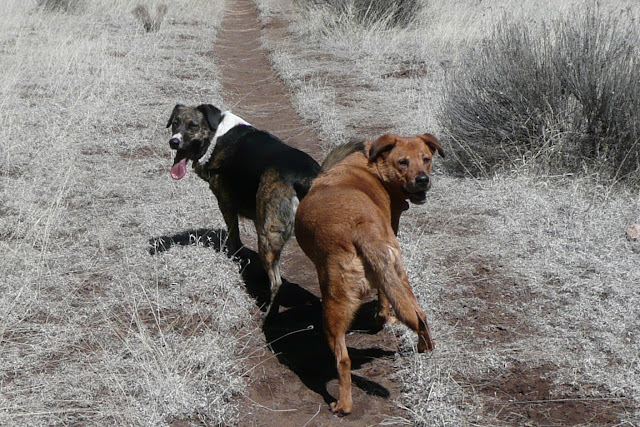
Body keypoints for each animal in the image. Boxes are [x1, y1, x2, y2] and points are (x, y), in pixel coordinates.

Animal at [166, 104, 321, 316]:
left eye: (193, 126)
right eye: (175, 123)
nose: (173, 142)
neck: (216, 135)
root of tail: (307, 177)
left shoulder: (225, 204)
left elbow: (235, 237)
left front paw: (236, 257)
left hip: (267, 237)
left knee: (276, 283)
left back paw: (269, 312)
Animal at [295, 133, 444, 416]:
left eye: (426, 159)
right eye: (403, 162)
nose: (423, 179)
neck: (371, 166)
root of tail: (361, 229)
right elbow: (387, 302)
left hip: (333, 306)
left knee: (343, 361)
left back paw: (342, 405)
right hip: (399, 275)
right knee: (419, 315)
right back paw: (424, 347)